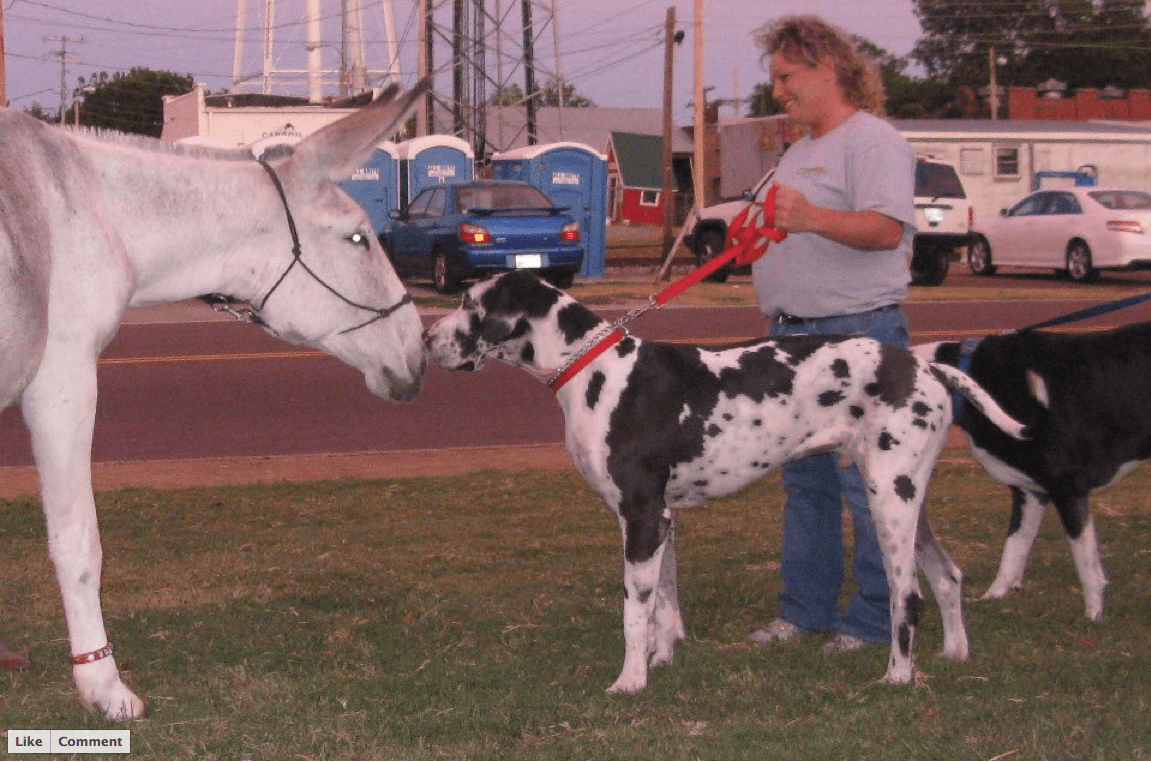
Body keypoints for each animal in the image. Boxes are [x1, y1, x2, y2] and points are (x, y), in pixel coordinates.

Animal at [0, 80, 430, 719]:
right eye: (358, 237)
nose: (419, 353)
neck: (91, 210)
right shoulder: (63, 379)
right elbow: (79, 540)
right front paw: (103, 684)